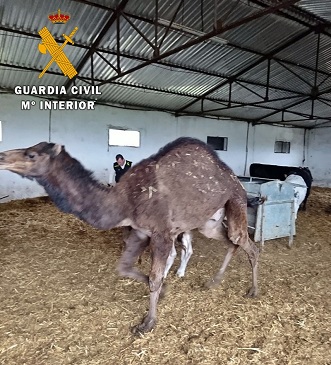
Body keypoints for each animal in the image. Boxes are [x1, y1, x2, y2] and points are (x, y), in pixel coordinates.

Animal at [0, 136, 260, 332]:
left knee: (246, 243)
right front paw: (164, 291)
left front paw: (147, 323)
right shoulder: (139, 231)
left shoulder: (161, 232)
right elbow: (125, 268)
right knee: (231, 241)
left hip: (235, 200)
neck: (124, 201)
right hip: (209, 222)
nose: (2, 157)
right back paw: (213, 281)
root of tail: (236, 179)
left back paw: (253, 291)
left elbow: (154, 277)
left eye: (32, 155)